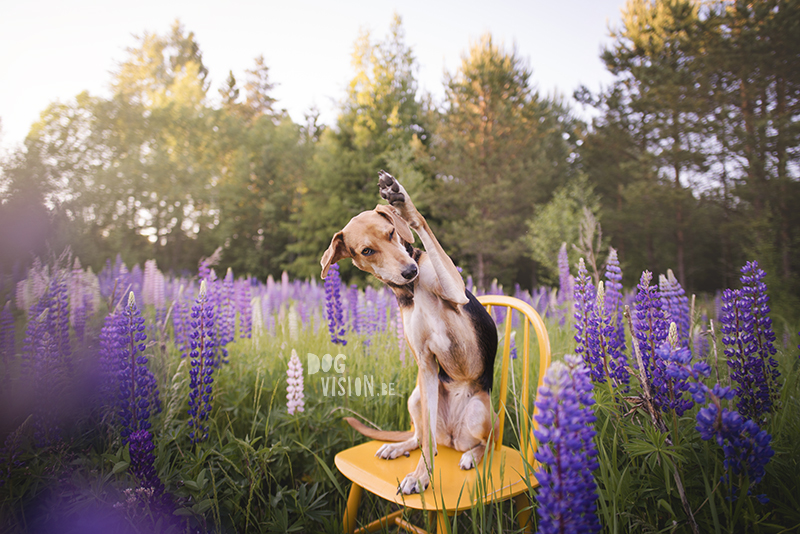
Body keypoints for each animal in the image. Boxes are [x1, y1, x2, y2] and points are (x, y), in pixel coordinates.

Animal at [320, 172, 496, 498]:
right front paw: (421, 476)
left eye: (392, 233)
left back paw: (471, 455)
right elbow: (425, 443)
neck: (412, 290)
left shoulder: (456, 294)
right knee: (425, 438)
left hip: (479, 412)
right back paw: (401, 446)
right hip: (417, 397)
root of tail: (452, 438)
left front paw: (403, 201)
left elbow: (422, 224)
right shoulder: (425, 365)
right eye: (367, 250)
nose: (409, 270)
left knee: (488, 443)